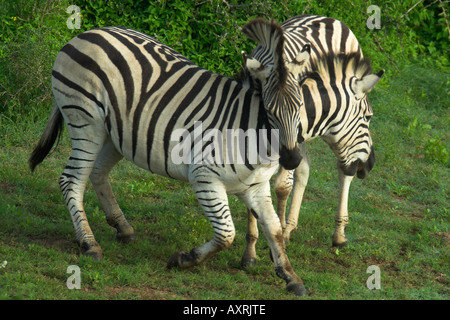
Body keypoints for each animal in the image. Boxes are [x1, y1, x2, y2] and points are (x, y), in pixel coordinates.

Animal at [29, 19, 312, 296]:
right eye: (269, 110)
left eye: (300, 106)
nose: (291, 160)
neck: (249, 130)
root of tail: (87, 33)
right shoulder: (204, 179)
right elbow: (226, 235)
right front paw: (183, 259)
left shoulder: (256, 186)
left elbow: (274, 231)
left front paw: (291, 277)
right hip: (86, 121)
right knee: (71, 180)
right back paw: (89, 243)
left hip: (116, 133)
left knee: (97, 172)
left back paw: (123, 227)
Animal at [239, 15, 384, 268]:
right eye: (368, 117)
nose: (370, 165)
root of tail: (329, 18)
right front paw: (251, 251)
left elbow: (282, 186)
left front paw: (276, 239)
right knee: (305, 169)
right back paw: (290, 228)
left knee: (343, 171)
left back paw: (338, 235)